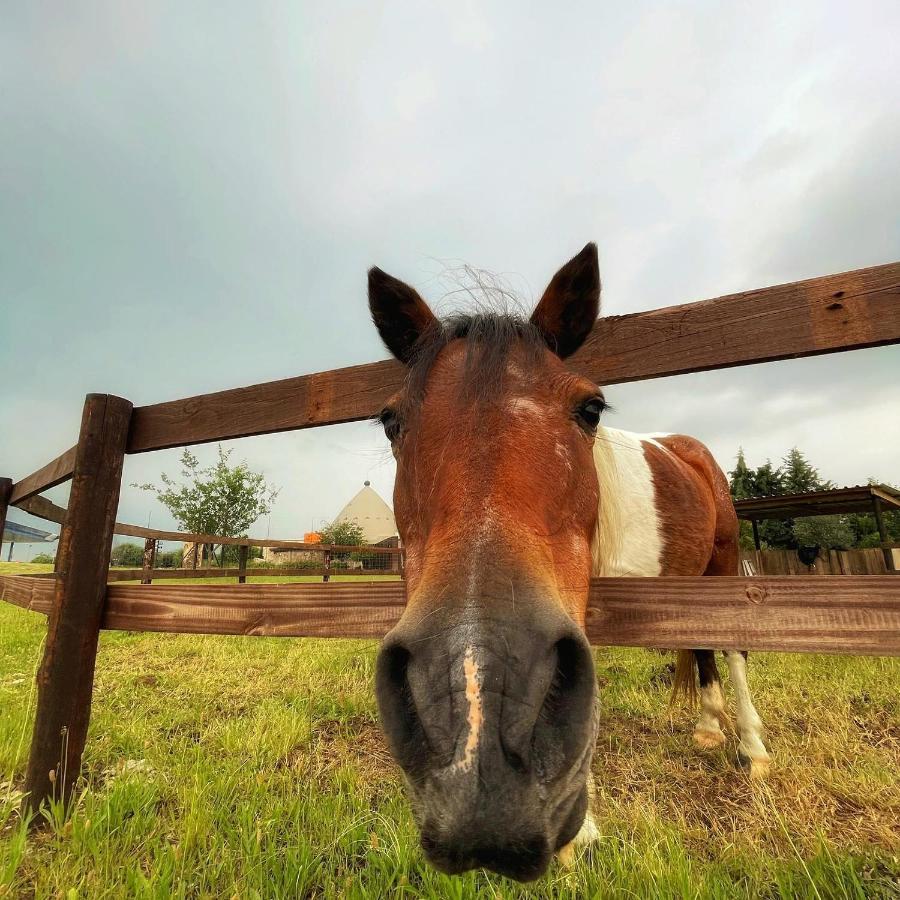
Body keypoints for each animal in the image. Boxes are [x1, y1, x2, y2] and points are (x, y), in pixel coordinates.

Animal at [366, 243, 768, 884]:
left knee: (729, 647)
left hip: (725, 564)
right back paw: (708, 728)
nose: (477, 723)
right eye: (391, 421)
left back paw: (751, 749)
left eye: (591, 408)